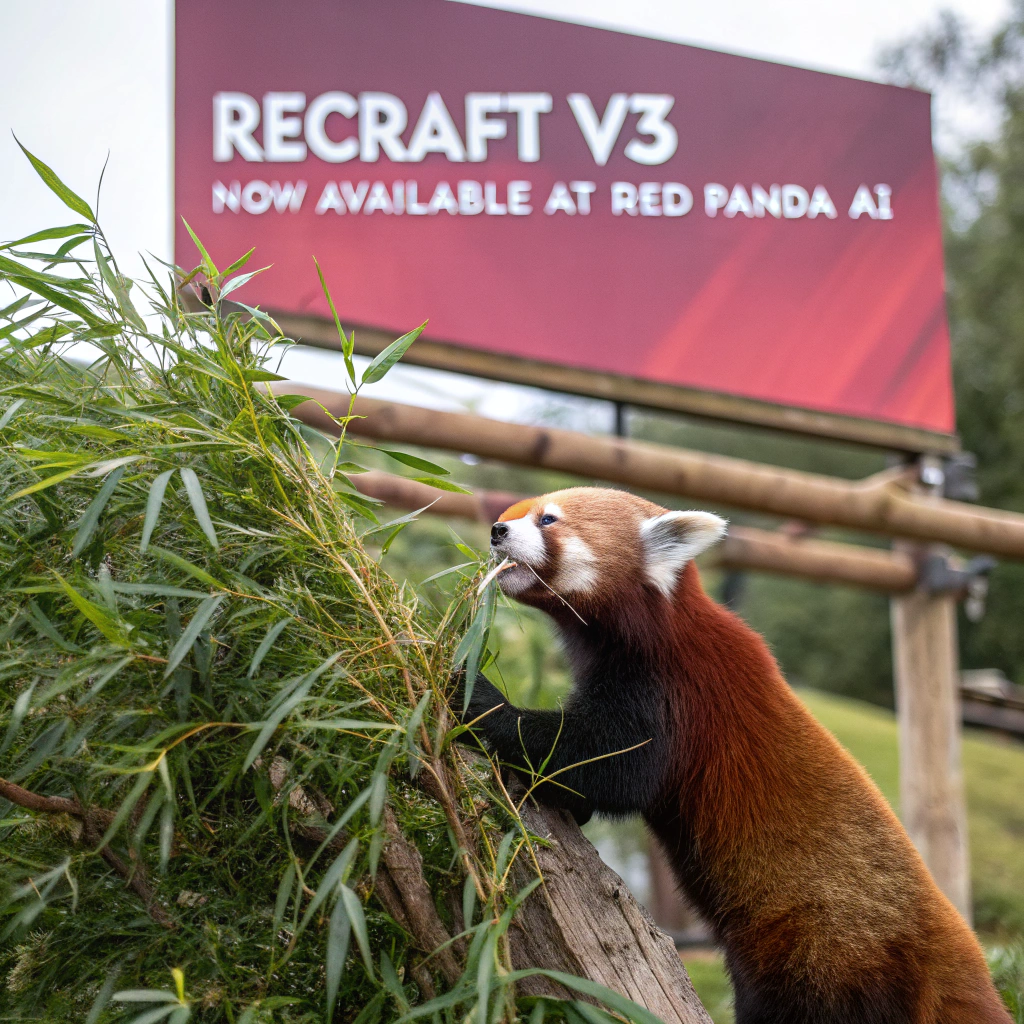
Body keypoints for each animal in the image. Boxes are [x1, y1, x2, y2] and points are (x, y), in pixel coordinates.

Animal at [458, 486, 1010, 1024]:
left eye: (548, 520)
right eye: (517, 512)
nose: (497, 530)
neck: (649, 629)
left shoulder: (675, 691)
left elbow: (609, 766)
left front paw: (478, 698)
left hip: (824, 952)